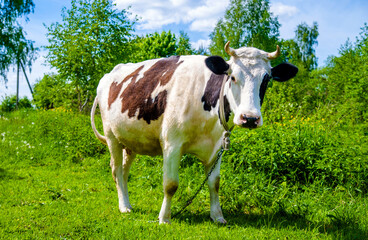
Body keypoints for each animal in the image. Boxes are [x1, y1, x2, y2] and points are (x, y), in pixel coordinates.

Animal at [90, 41, 298, 223]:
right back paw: (124, 206)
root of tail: (109, 73)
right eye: (232, 76)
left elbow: (215, 183)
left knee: (125, 171)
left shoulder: (217, 147)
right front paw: (164, 218)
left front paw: (217, 216)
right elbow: (170, 184)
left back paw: (127, 203)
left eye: (266, 79)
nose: (250, 118)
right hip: (112, 136)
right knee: (116, 169)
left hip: (131, 141)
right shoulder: (172, 143)